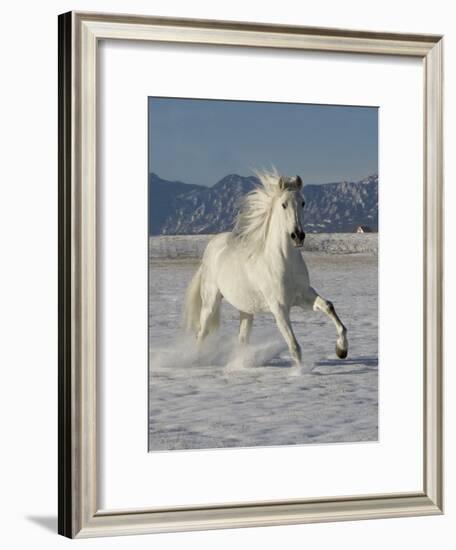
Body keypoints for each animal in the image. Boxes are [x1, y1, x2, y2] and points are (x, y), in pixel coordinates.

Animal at [183, 169, 348, 366]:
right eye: (283, 204)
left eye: (303, 202)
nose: (298, 236)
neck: (284, 261)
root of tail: (212, 247)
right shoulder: (279, 308)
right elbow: (294, 347)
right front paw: (300, 372)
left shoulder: (304, 296)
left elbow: (329, 307)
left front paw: (341, 350)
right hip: (211, 301)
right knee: (202, 332)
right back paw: (198, 360)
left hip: (245, 308)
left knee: (242, 338)